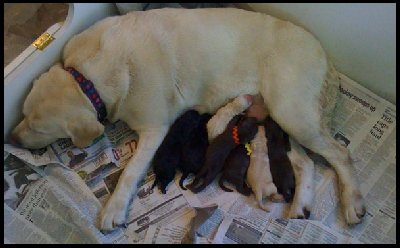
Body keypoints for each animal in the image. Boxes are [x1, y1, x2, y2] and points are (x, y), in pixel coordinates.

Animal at [10, 8, 366, 232]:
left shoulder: (155, 130)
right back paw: (300, 206)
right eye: (23, 113)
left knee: (341, 154)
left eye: (38, 127)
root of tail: (326, 57)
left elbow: (129, 172)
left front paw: (113, 209)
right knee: (306, 162)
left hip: (292, 111)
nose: (11, 139)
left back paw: (352, 203)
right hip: (284, 121)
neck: (89, 75)